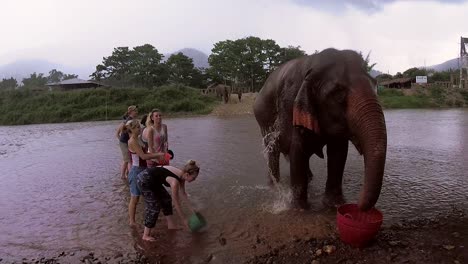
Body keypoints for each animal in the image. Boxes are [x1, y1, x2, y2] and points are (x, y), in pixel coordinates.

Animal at [252, 49, 388, 210]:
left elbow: (338, 152)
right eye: (338, 93)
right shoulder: (291, 106)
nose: (356, 205)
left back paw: (309, 178)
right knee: (273, 151)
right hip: (263, 120)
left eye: (375, 85)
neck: (314, 64)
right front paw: (299, 209)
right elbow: (298, 150)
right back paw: (274, 185)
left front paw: (335, 205)